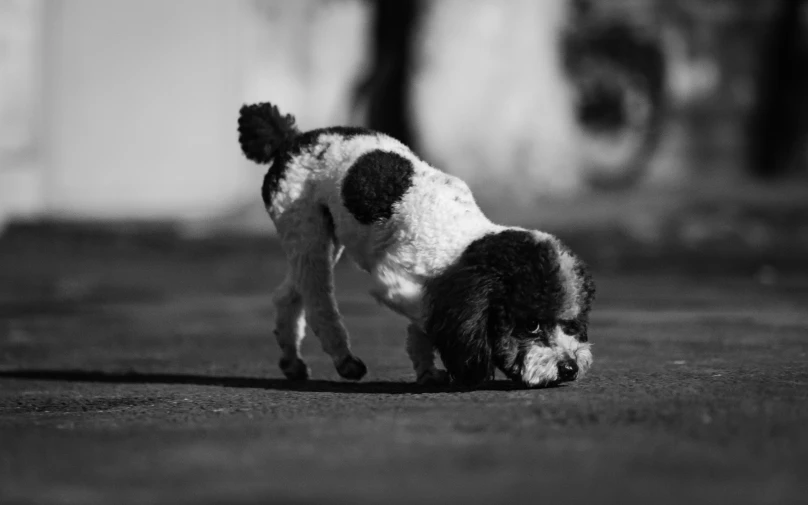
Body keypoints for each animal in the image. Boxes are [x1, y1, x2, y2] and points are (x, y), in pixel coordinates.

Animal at [234, 101, 592, 386]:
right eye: (531, 324)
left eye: (571, 324)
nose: (569, 368)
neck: (459, 244)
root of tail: (290, 140)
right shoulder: (394, 282)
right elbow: (430, 322)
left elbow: (425, 328)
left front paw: (428, 370)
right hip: (307, 233)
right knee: (318, 302)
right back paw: (344, 359)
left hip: (316, 240)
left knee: (287, 295)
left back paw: (292, 361)